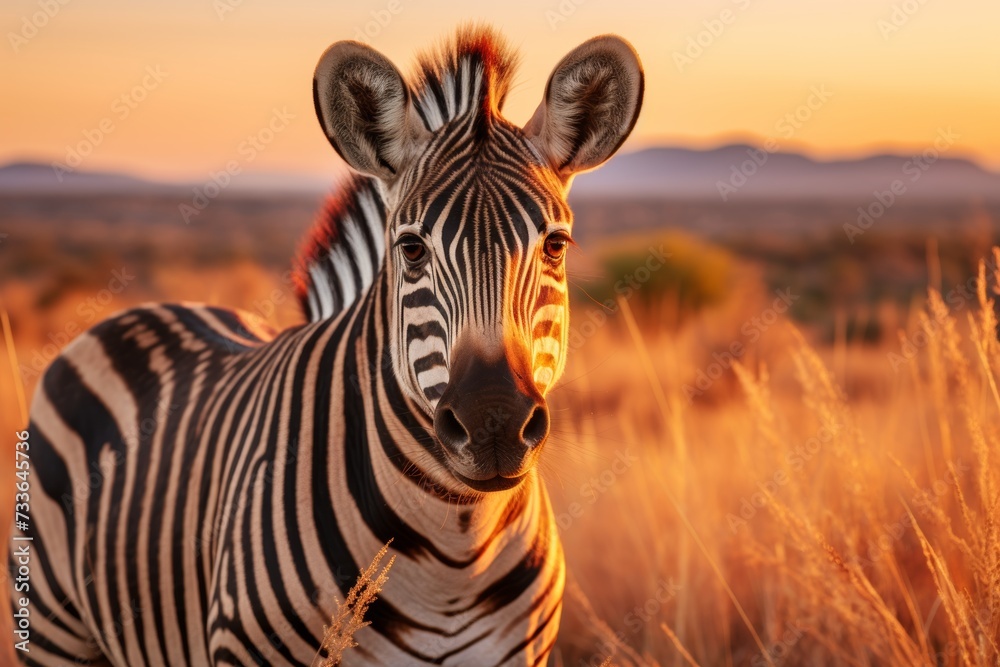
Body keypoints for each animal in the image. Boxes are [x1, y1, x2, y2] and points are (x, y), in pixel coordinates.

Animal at [12, 25, 643, 666]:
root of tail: (142, 311)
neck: (455, 548)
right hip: (54, 626)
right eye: (411, 248)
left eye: (556, 245)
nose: (495, 424)